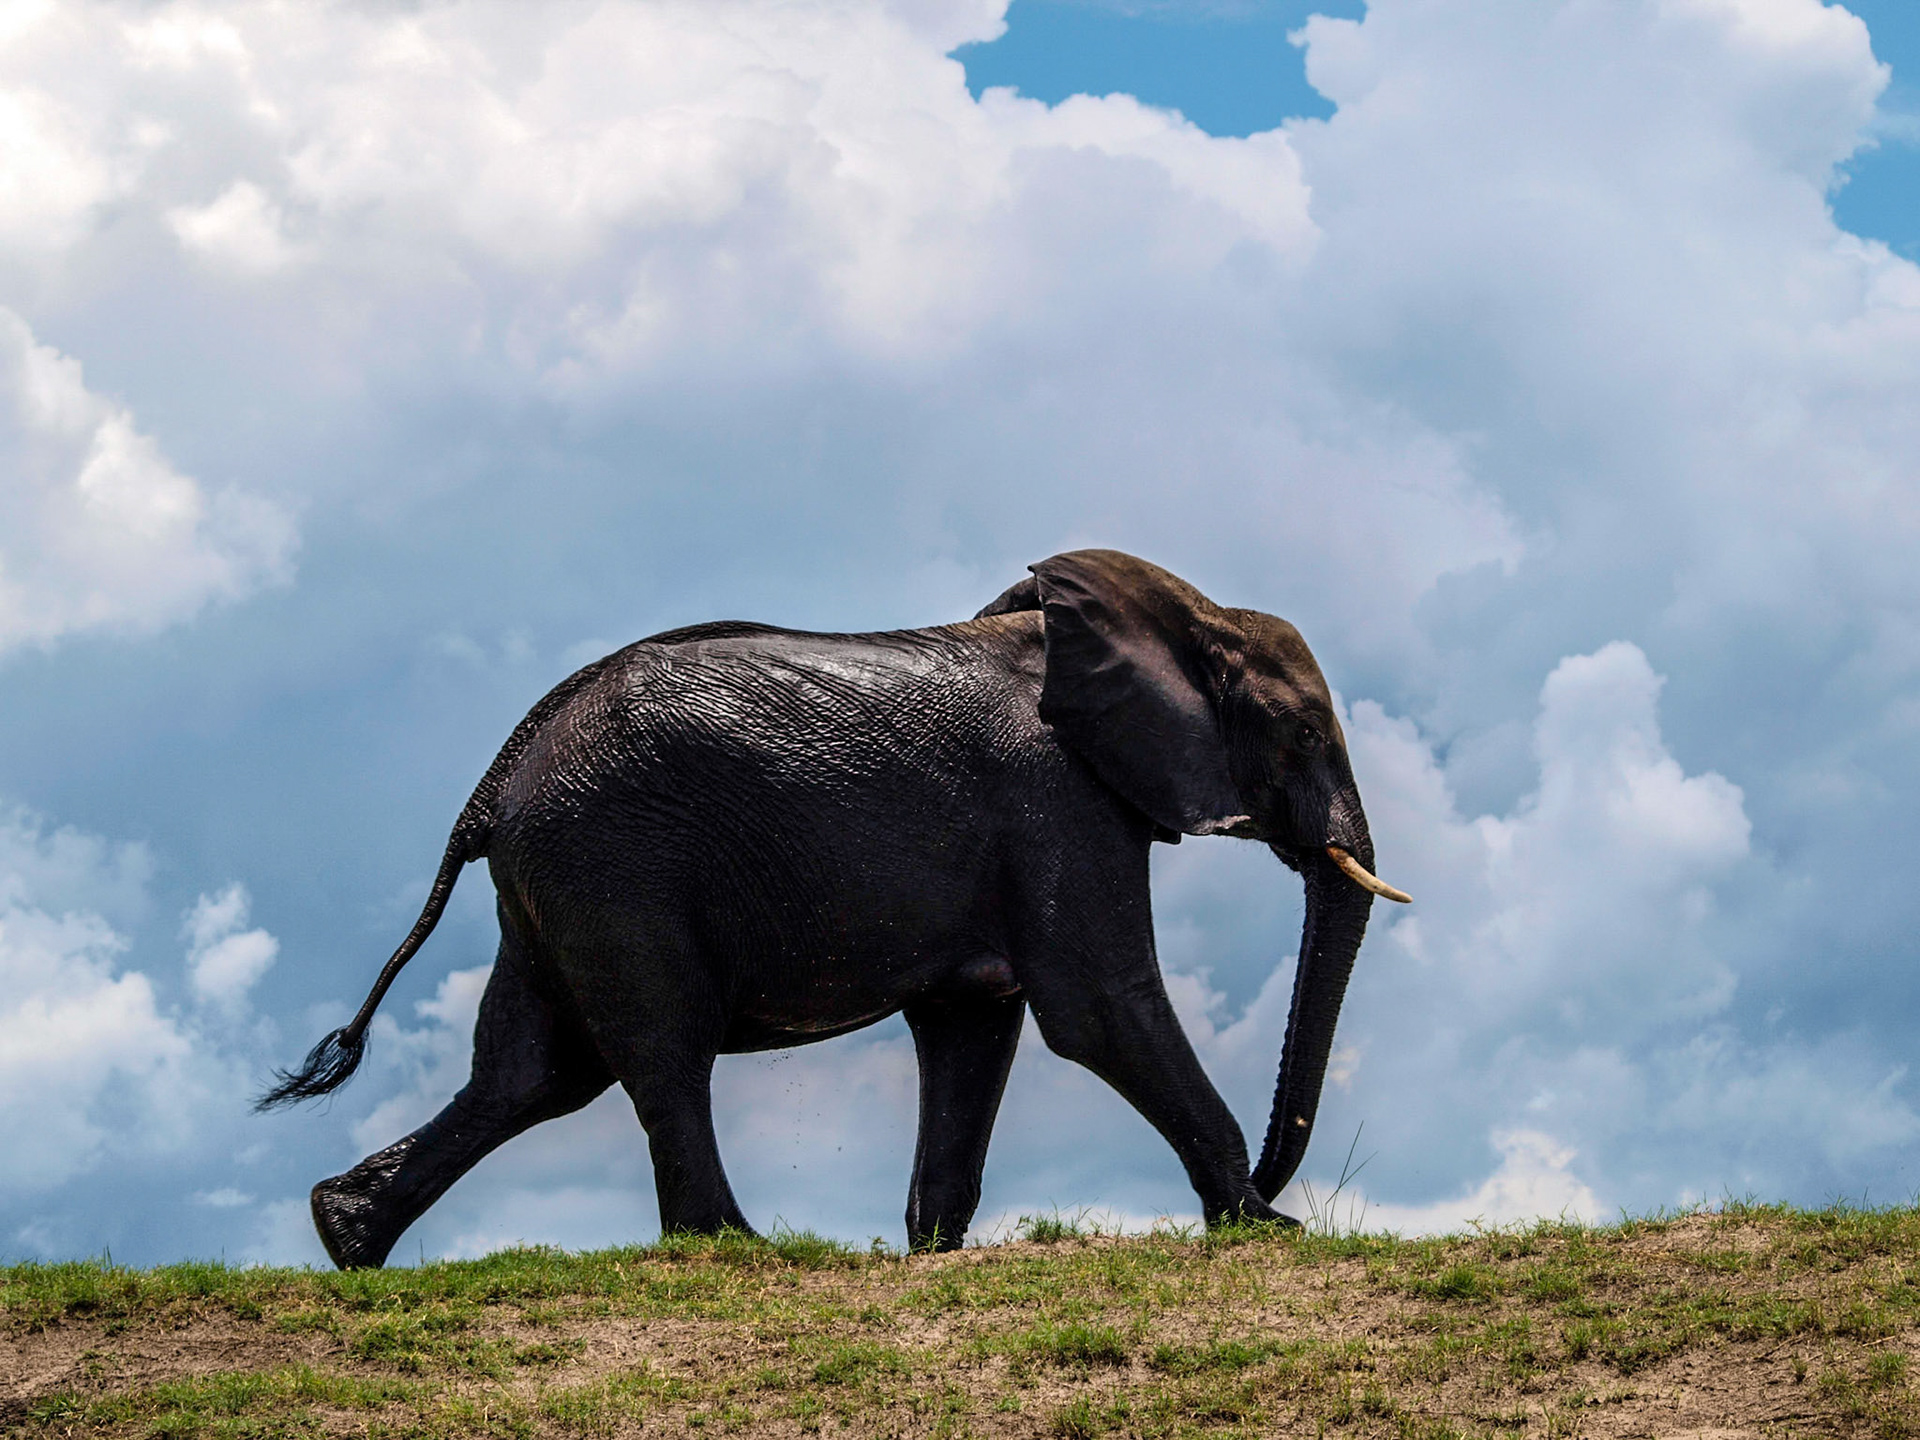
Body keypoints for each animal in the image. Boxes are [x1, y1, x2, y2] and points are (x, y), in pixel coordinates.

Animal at [260, 549, 1409, 1268]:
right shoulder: (1056, 799)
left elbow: (974, 1025)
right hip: (614, 863)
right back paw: (735, 1249)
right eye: (1306, 734)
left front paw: (933, 1252)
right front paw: (1267, 1229)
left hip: (553, 885)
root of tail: (496, 782)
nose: (1273, 1174)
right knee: (658, 1050)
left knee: (532, 1073)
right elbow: (1100, 1007)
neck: (1177, 613)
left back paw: (342, 1236)